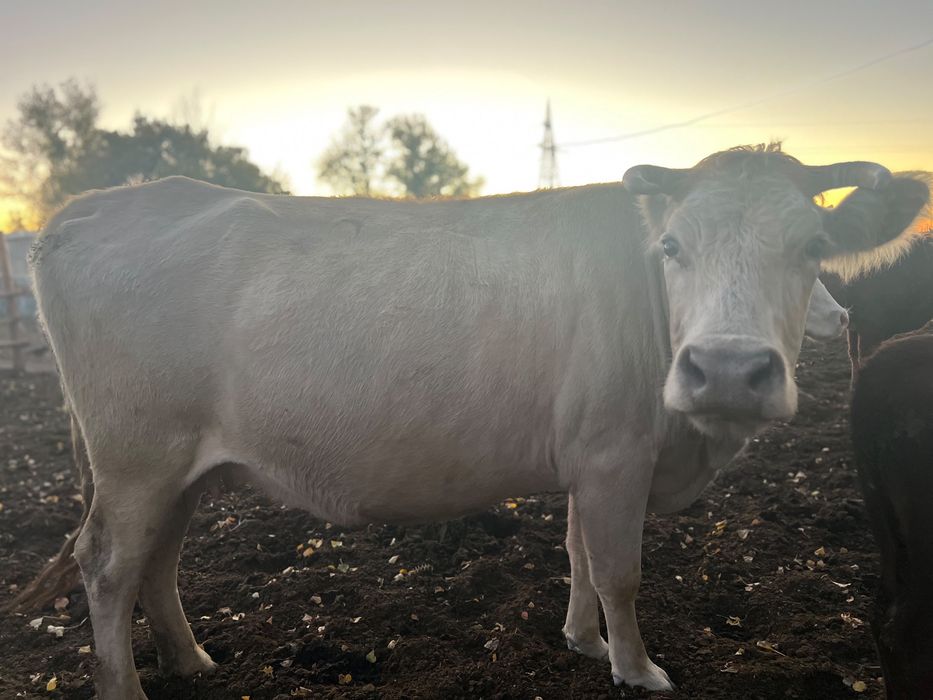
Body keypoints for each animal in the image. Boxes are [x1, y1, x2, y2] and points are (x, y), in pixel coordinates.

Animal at [17, 145, 928, 699]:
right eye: (672, 247)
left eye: (813, 247)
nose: (731, 369)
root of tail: (92, 209)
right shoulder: (615, 455)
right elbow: (619, 571)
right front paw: (635, 668)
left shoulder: (586, 455)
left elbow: (575, 555)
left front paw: (582, 641)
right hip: (137, 455)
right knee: (107, 563)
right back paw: (126, 686)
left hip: (175, 466)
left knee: (159, 559)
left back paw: (191, 659)